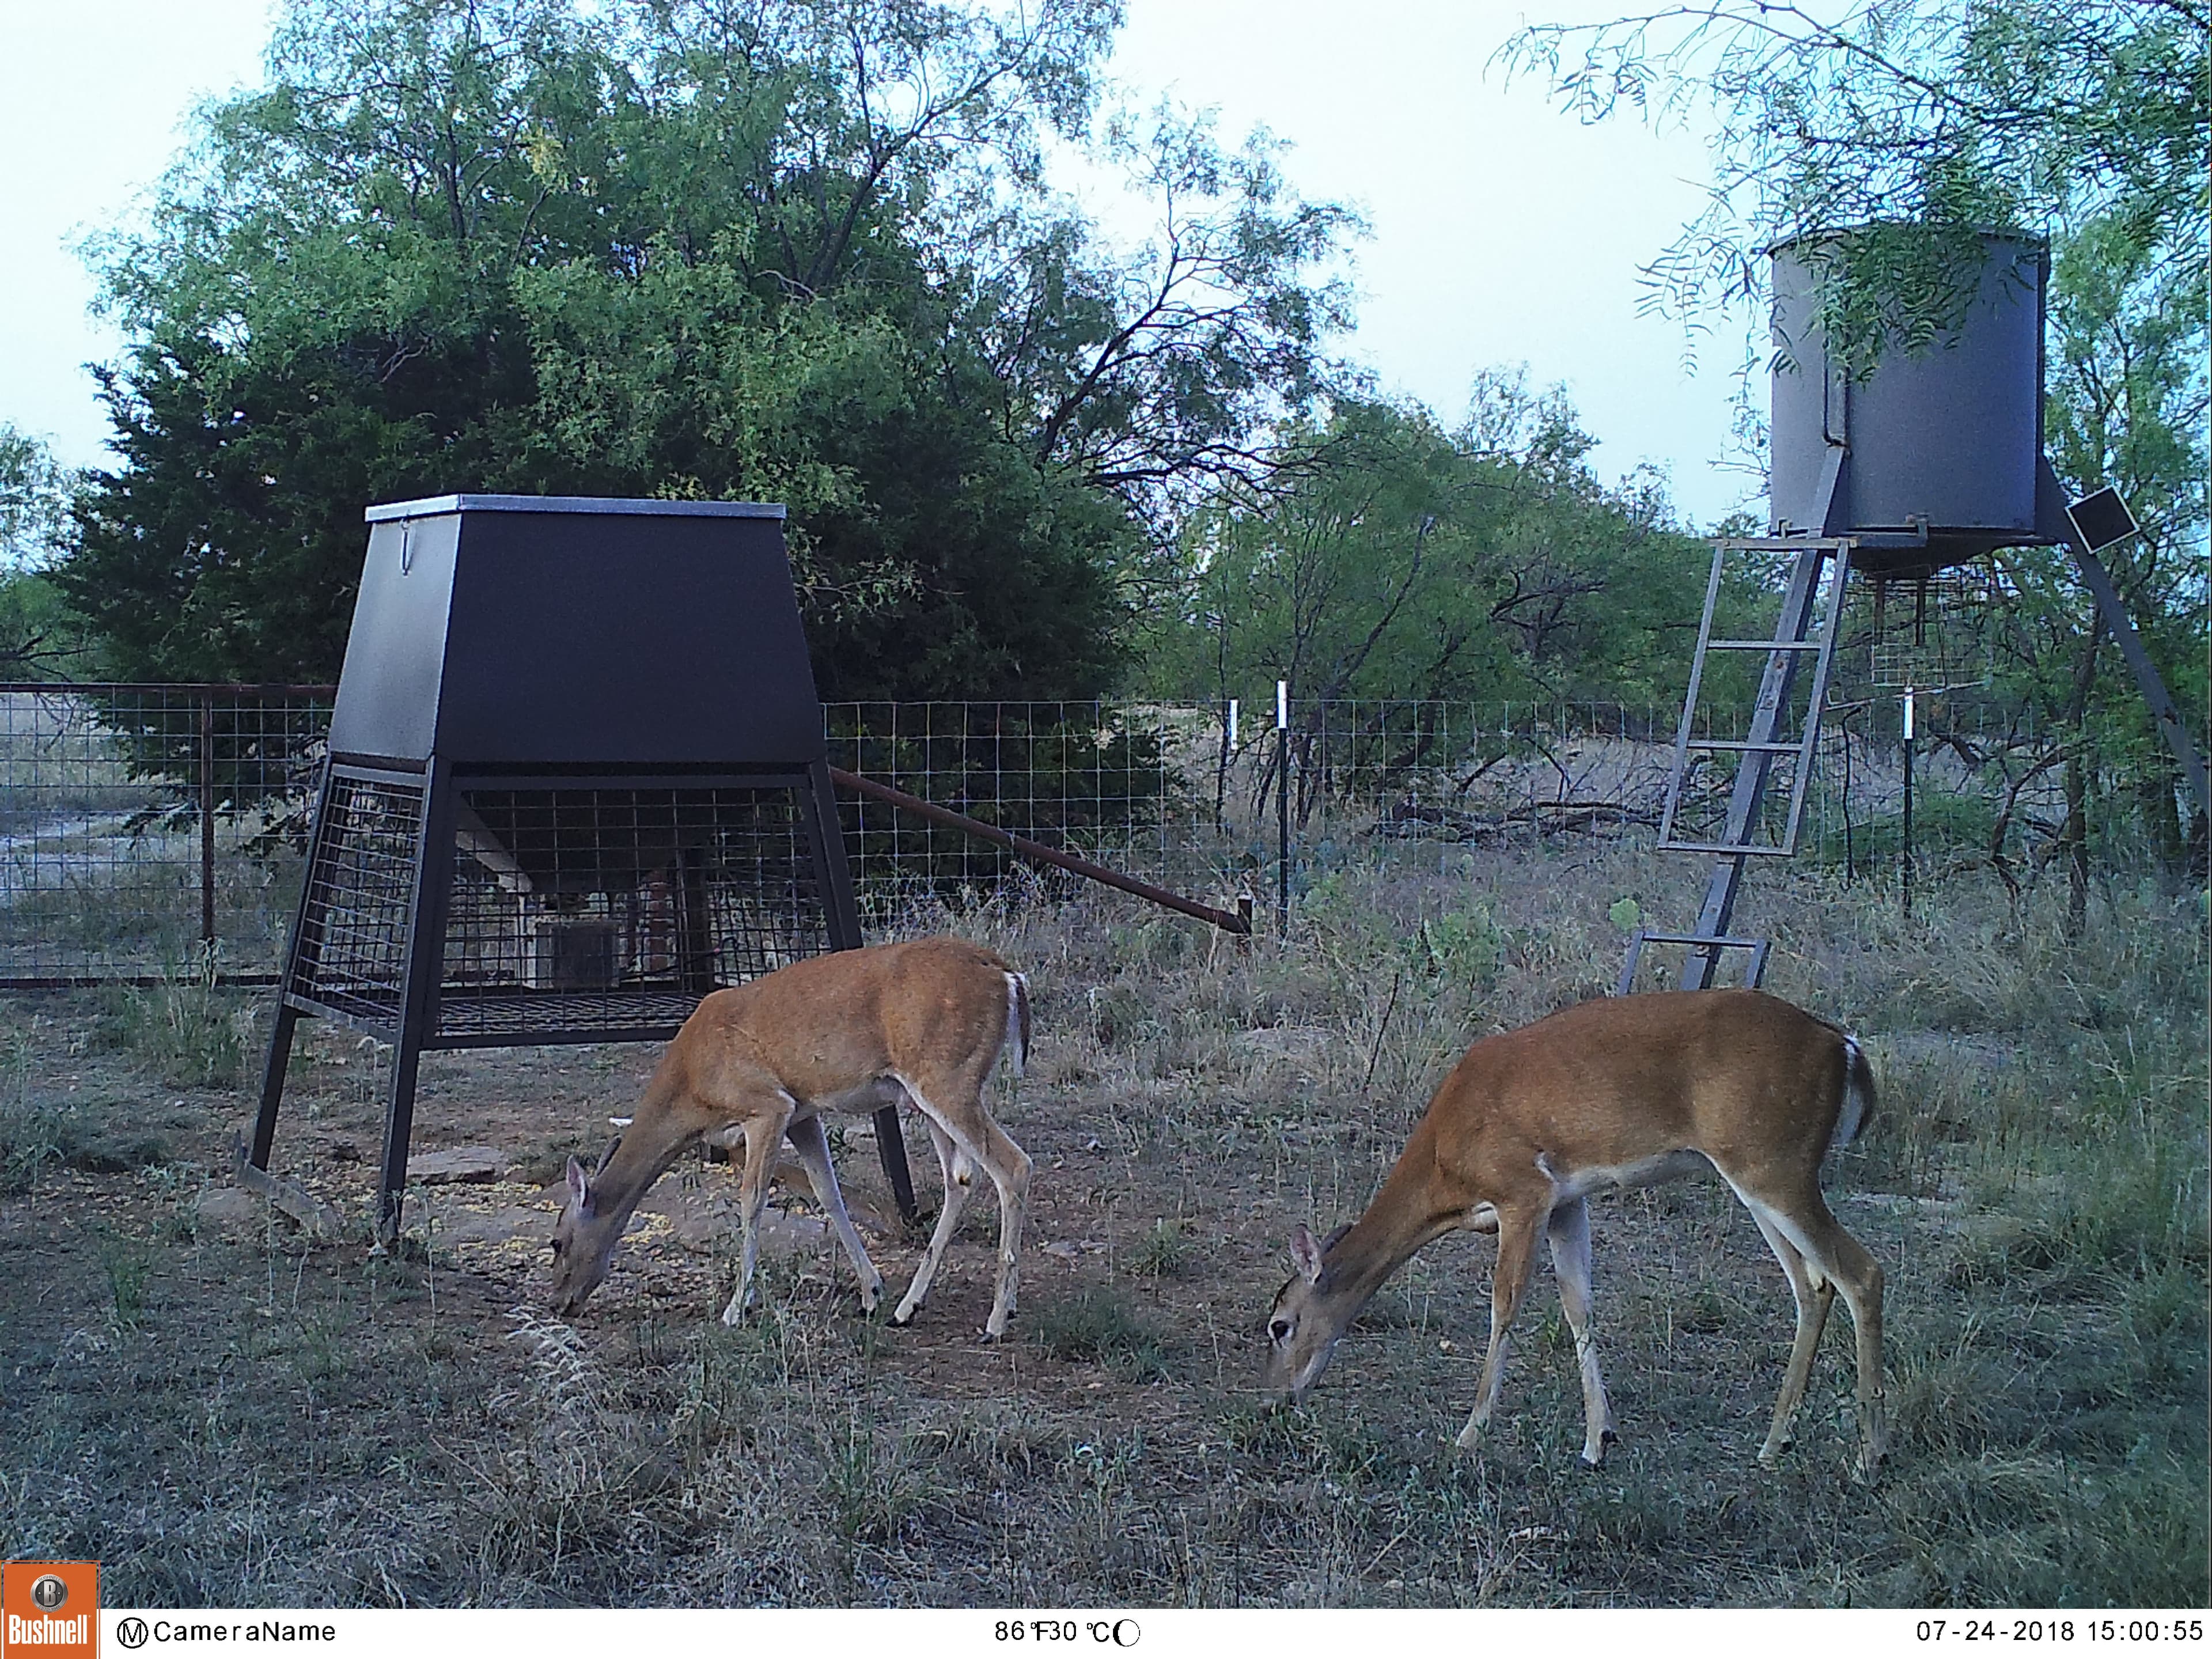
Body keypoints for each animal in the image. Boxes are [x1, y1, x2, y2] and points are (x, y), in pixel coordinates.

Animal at [549, 936, 1033, 1338]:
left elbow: (752, 1198)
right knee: (961, 1178)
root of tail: (1006, 973)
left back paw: (996, 1320)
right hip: (929, 1092)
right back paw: (907, 1308)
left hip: (947, 1077)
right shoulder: (803, 1113)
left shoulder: (766, 1105)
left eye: (556, 1241)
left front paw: (736, 1309)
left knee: (1014, 1165)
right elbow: (827, 1192)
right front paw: (871, 1293)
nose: (559, 1303)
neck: (692, 1085)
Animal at [1263, 987, 1887, 1475]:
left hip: (1774, 1163)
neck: (1446, 1166)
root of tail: (1843, 1046)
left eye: (1279, 1325)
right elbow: (1578, 1304)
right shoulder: (1567, 1201)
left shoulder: (1522, 1190)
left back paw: (1868, 1456)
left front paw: (1469, 1434)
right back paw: (1774, 1443)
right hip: (1758, 1172)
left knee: (1862, 1272)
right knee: (1814, 1285)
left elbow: (1505, 1304)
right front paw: (1597, 1441)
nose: (1276, 1400)